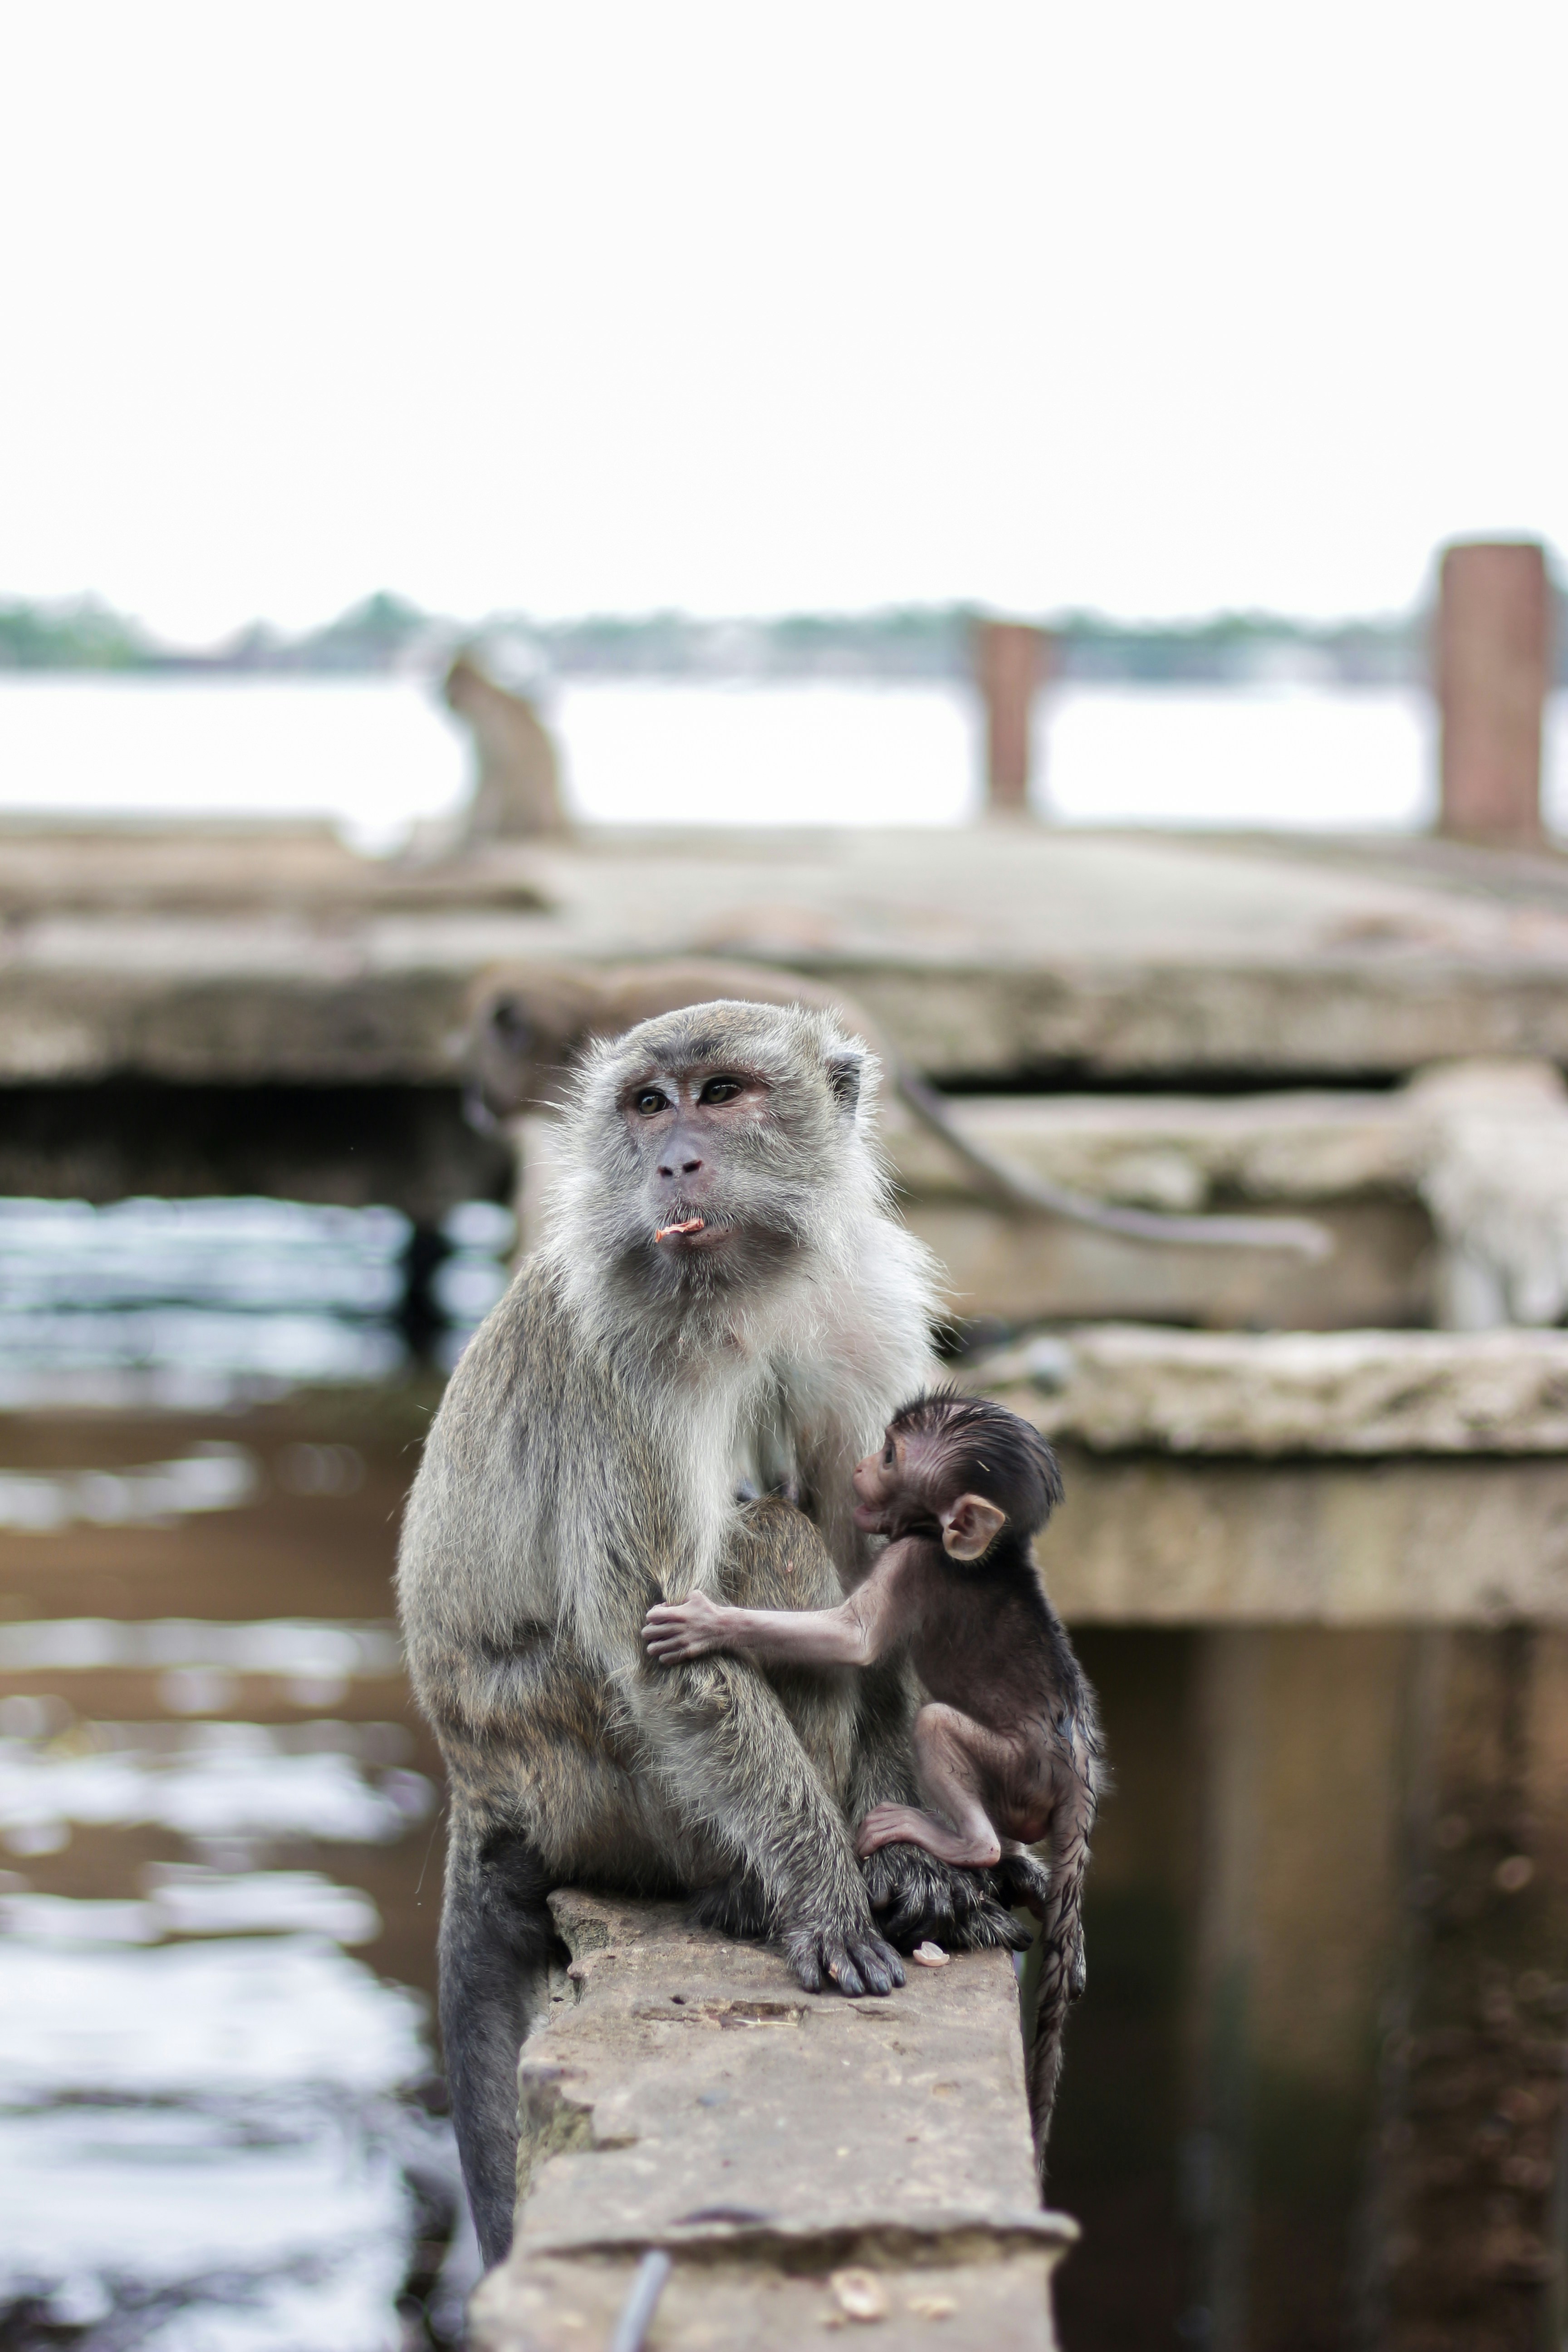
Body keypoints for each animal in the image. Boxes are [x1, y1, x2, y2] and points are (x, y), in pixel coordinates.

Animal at [397, 999, 1030, 2265]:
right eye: (649, 1105)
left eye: (722, 1094)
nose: (673, 1161)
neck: (754, 1279)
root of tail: (479, 1783)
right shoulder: (632, 1349)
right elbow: (660, 1637)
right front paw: (829, 1889)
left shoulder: (859, 1311)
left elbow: (884, 1588)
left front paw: (909, 1857)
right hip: (590, 1778)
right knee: (765, 1543)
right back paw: (755, 1890)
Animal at [641, 1387, 1103, 2176]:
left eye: (890, 1457)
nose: (860, 1464)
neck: (992, 1556)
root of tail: (1076, 1776)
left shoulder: (913, 1559)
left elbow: (851, 1640)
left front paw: (708, 1623)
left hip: (1020, 1769)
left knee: (937, 1726)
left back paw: (963, 1845)